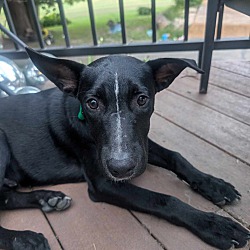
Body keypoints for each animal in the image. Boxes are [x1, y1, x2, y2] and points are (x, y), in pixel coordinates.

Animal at [0, 47, 249, 249]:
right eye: (92, 103)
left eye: (142, 99)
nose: (121, 168)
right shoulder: (103, 183)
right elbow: (163, 199)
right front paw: (213, 225)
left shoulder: (140, 145)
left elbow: (176, 157)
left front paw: (213, 184)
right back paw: (23, 238)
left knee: (6, 197)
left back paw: (48, 198)